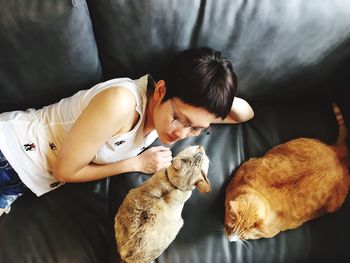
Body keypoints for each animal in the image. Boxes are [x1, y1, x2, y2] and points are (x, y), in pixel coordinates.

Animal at [226, 104, 348, 242]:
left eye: (242, 237)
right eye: (229, 227)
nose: (229, 240)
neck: (261, 194)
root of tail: (339, 154)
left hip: (334, 206)